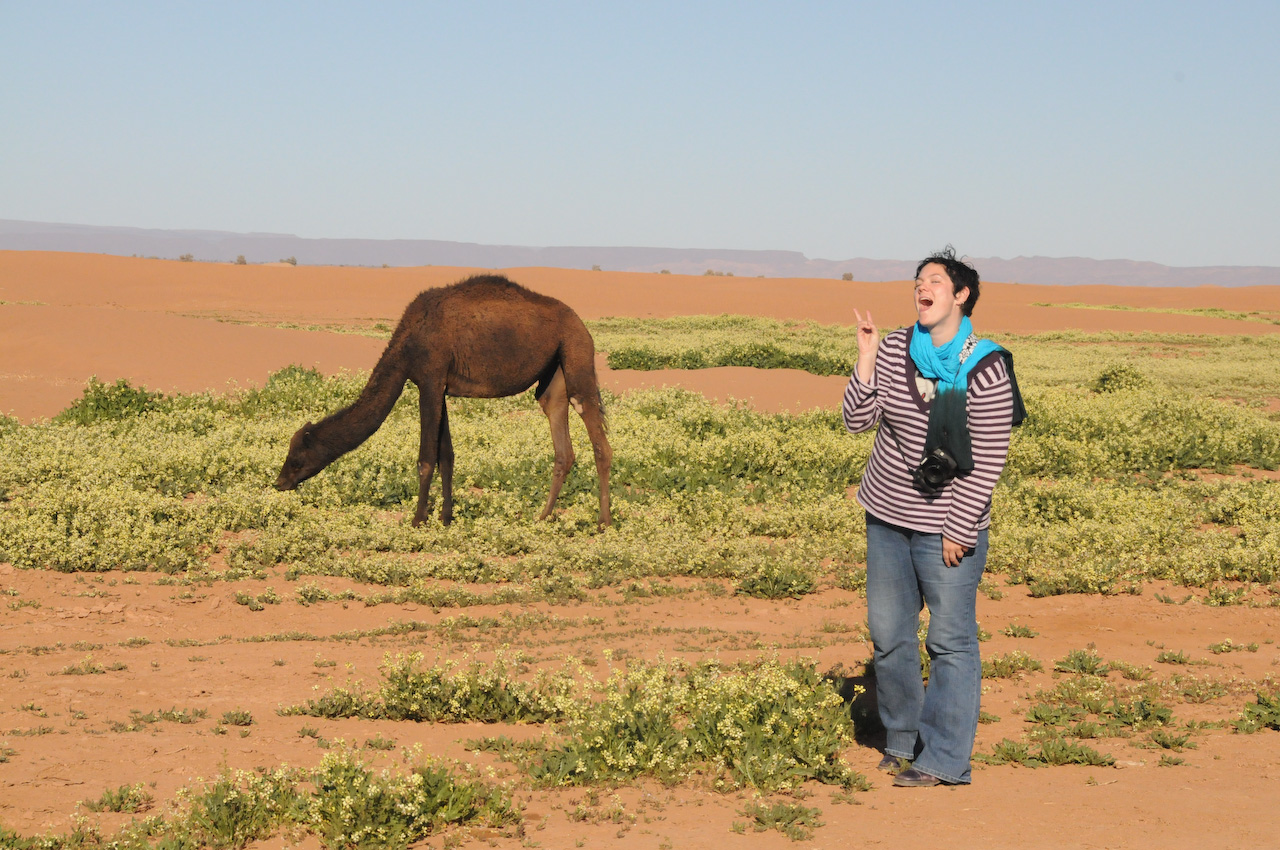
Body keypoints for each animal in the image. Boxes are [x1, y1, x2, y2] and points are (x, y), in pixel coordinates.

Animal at [274, 274, 612, 528]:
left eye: (297, 458)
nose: (279, 482)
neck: (407, 343)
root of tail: (582, 325)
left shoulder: (430, 379)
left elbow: (426, 458)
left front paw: (418, 520)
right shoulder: (439, 386)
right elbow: (446, 456)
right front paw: (446, 518)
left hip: (576, 352)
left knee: (598, 439)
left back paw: (602, 523)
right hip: (554, 374)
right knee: (561, 439)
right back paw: (541, 517)